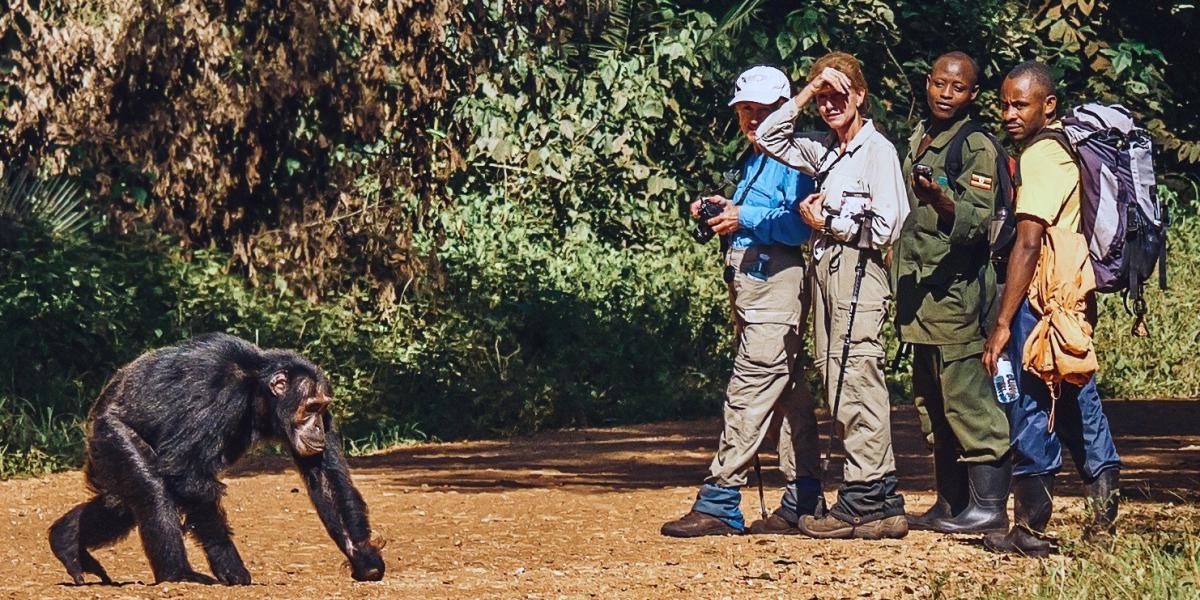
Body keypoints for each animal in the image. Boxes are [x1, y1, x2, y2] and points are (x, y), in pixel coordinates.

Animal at [45, 331, 384, 583]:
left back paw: (67, 542)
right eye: (310, 407)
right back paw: (179, 575)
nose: (317, 428)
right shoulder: (216, 392)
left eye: (322, 408)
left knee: (120, 504)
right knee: (151, 490)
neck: (255, 389)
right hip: (112, 433)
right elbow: (188, 474)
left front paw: (364, 558)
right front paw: (231, 567)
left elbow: (325, 478)